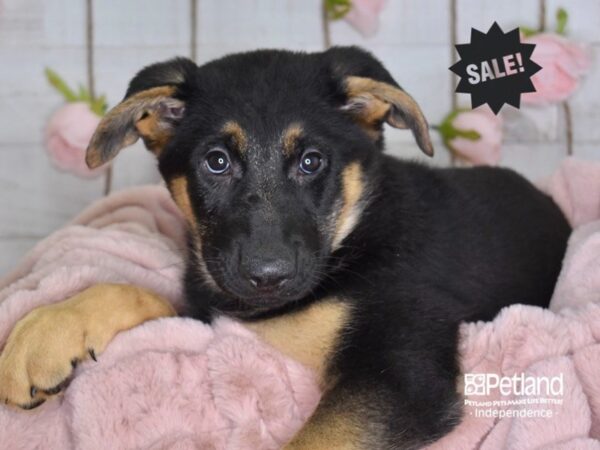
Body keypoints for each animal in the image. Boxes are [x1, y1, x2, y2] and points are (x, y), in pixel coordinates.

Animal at [0, 47, 568, 448]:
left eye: (312, 162)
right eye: (216, 162)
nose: (267, 277)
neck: (348, 239)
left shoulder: (405, 374)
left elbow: (316, 441)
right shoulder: (215, 307)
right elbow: (131, 290)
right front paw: (48, 330)